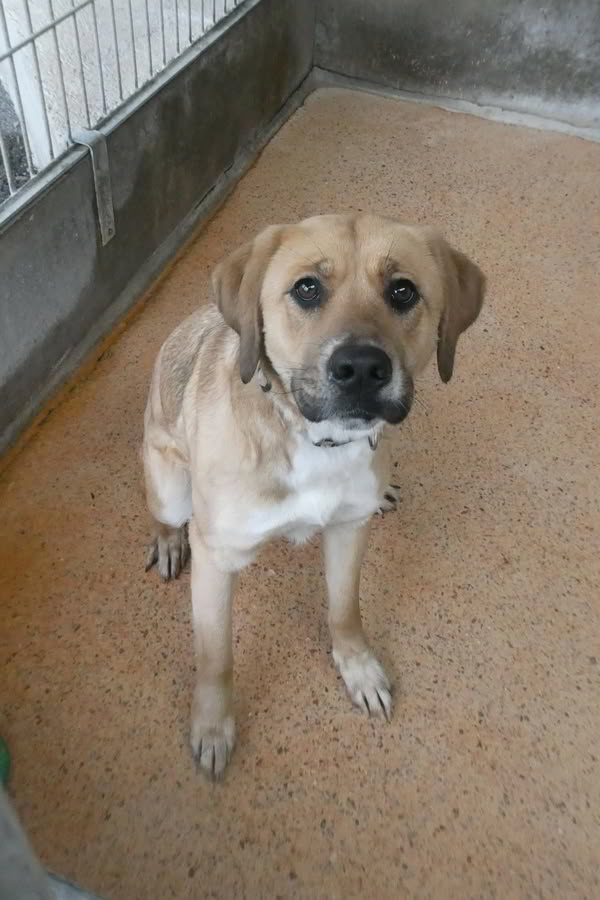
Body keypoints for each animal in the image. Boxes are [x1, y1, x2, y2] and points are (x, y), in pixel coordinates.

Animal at [142, 213, 485, 778]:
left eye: (403, 291)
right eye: (307, 288)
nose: (362, 368)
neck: (315, 440)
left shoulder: (348, 530)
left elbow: (345, 609)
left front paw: (358, 668)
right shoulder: (217, 559)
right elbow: (215, 658)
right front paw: (212, 727)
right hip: (168, 486)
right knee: (168, 515)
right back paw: (169, 542)